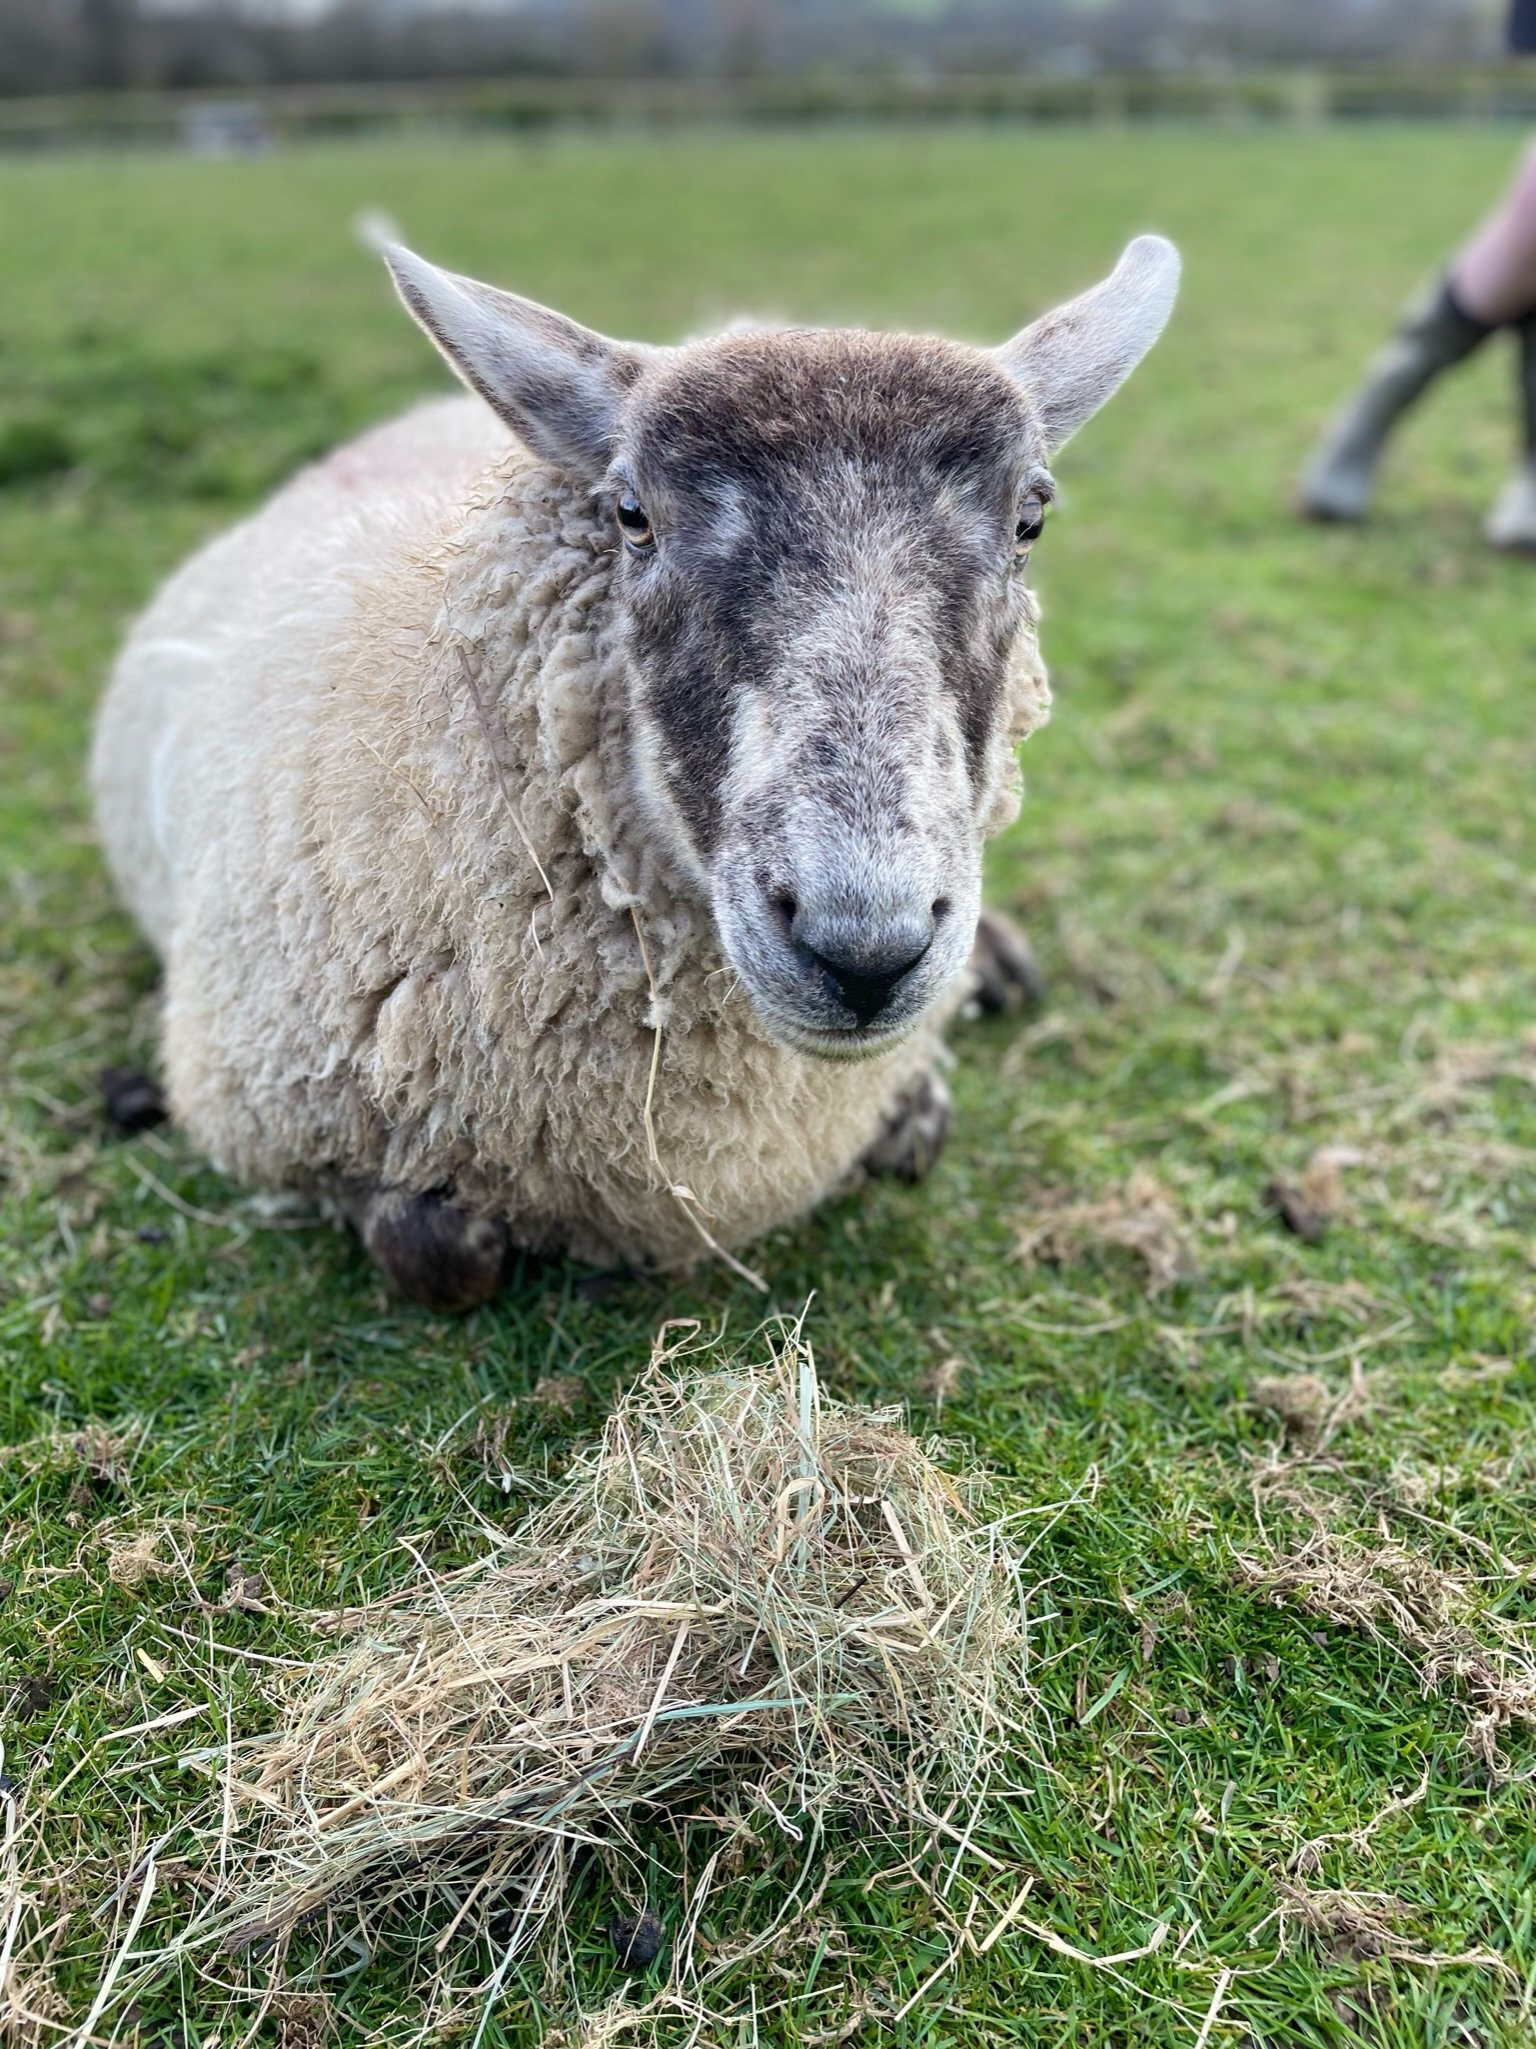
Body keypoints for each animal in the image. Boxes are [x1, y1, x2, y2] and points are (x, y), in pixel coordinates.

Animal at [92, 233, 1179, 1309]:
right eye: (632, 513)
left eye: (1032, 520)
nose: (864, 949)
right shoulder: (267, 1122)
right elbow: (438, 1254)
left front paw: (919, 1095)